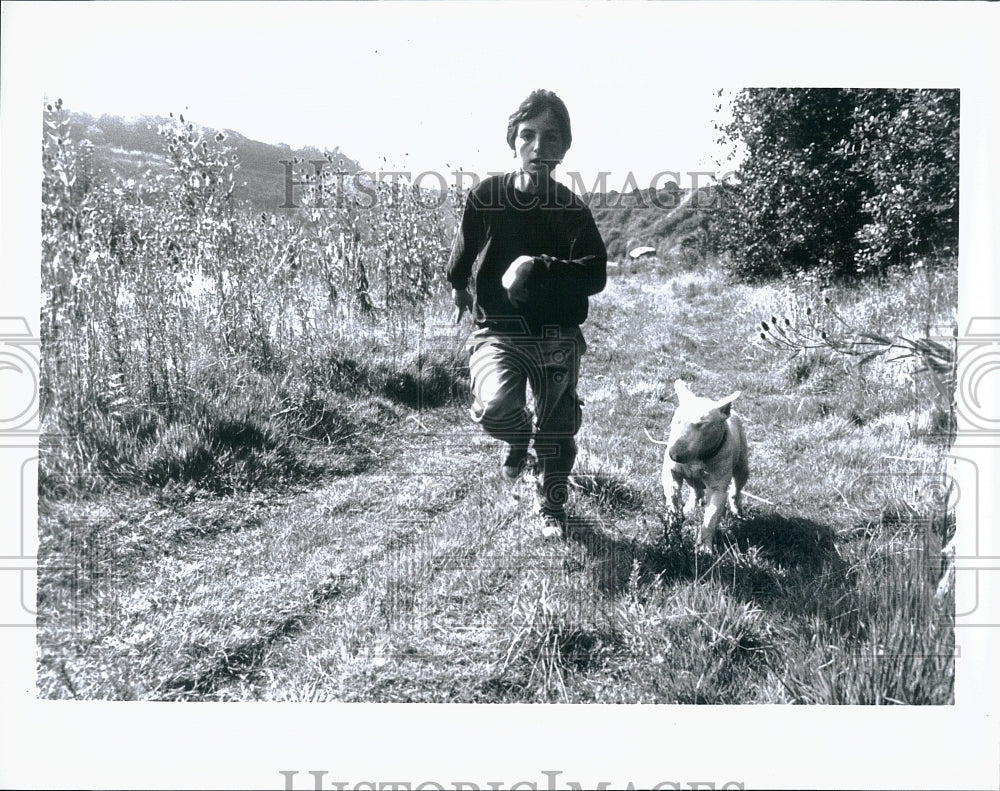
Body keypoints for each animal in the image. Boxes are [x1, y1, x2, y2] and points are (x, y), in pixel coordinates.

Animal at [648, 382, 752, 552]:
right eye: (677, 420)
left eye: (701, 424)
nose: (674, 455)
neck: (698, 458)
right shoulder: (671, 474)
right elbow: (672, 498)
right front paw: (672, 525)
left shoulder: (718, 489)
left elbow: (710, 518)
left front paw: (704, 548)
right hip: (692, 479)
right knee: (696, 490)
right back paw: (689, 508)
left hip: (742, 467)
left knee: (736, 489)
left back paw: (737, 509)